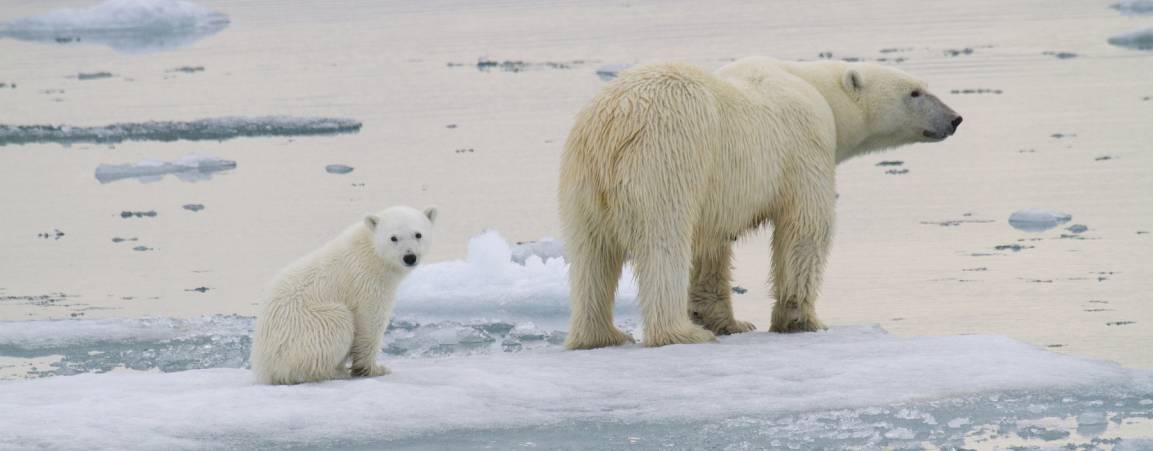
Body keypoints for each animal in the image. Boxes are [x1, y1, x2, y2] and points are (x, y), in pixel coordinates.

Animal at [250, 205, 437, 384]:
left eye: (418, 234)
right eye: (393, 238)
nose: (409, 257)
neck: (371, 253)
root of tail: (264, 369)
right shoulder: (366, 281)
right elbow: (370, 322)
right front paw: (375, 369)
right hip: (306, 327)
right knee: (337, 322)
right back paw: (336, 372)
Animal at [559, 57, 961, 349]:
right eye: (915, 92)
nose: (955, 118)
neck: (817, 90)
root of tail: (614, 124)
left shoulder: (717, 192)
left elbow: (711, 246)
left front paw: (729, 321)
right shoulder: (805, 145)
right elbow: (805, 228)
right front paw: (801, 320)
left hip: (582, 179)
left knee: (590, 255)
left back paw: (601, 336)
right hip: (665, 159)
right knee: (663, 243)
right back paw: (680, 333)